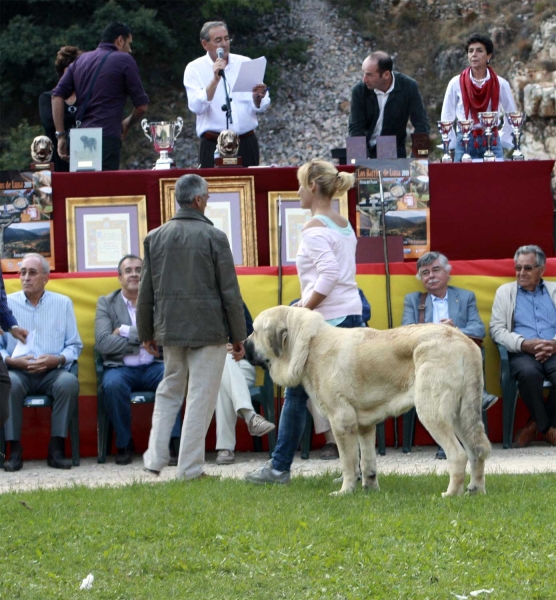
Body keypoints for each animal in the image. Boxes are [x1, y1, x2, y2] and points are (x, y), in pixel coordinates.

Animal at [243, 304, 490, 496]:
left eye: (254, 331)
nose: (243, 344)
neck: (310, 345)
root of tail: (464, 342)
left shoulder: (342, 422)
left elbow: (348, 462)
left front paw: (345, 491)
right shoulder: (364, 426)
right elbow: (367, 461)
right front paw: (369, 488)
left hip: (432, 412)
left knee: (458, 455)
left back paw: (451, 494)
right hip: (461, 415)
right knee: (476, 451)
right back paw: (474, 490)